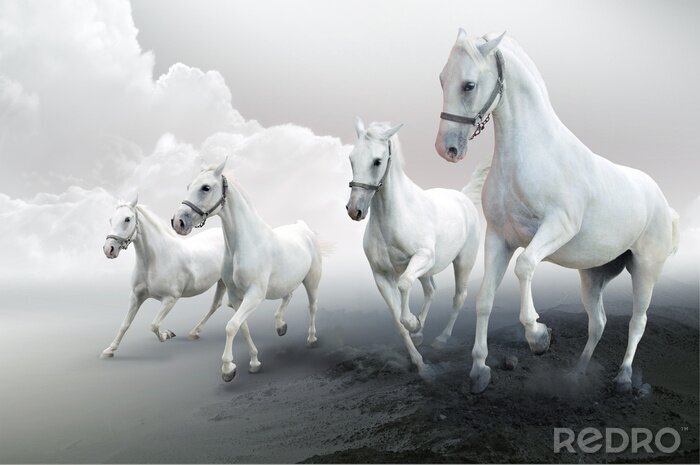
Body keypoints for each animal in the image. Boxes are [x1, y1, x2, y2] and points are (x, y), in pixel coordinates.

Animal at [101, 195, 258, 358]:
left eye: (127, 219)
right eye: (111, 219)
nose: (109, 249)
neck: (155, 259)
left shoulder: (170, 299)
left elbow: (154, 325)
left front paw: (167, 334)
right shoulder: (136, 297)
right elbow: (124, 324)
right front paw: (109, 350)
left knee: (217, 305)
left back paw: (194, 332)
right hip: (222, 281)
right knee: (217, 304)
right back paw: (195, 332)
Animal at [172, 159, 324, 382]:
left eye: (206, 187)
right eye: (189, 186)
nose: (178, 222)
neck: (245, 244)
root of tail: (304, 228)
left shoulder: (254, 295)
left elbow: (231, 326)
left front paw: (228, 369)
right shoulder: (236, 297)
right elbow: (241, 327)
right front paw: (253, 362)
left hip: (311, 280)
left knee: (312, 306)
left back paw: (311, 339)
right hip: (285, 282)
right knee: (288, 296)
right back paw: (280, 326)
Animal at [346, 119, 488, 377]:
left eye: (377, 161)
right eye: (351, 159)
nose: (355, 210)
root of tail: (463, 198)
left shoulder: (422, 258)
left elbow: (404, 286)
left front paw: (413, 322)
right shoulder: (381, 276)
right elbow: (398, 322)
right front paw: (418, 359)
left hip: (462, 262)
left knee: (458, 297)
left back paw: (441, 338)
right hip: (426, 272)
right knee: (431, 290)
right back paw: (421, 333)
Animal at [435, 29, 679, 393]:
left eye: (468, 85)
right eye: (441, 79)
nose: (447, 149)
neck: (531, 155)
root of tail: (661, 200)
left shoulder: (556, 228)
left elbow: (525, 266)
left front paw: (539, 336)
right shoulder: (498, 239)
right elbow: (484, 299)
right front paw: (479, 370)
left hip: (645, 269)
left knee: (638, 321)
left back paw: (623, 377)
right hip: (593, 275)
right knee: (598, 322)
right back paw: (577, 373)